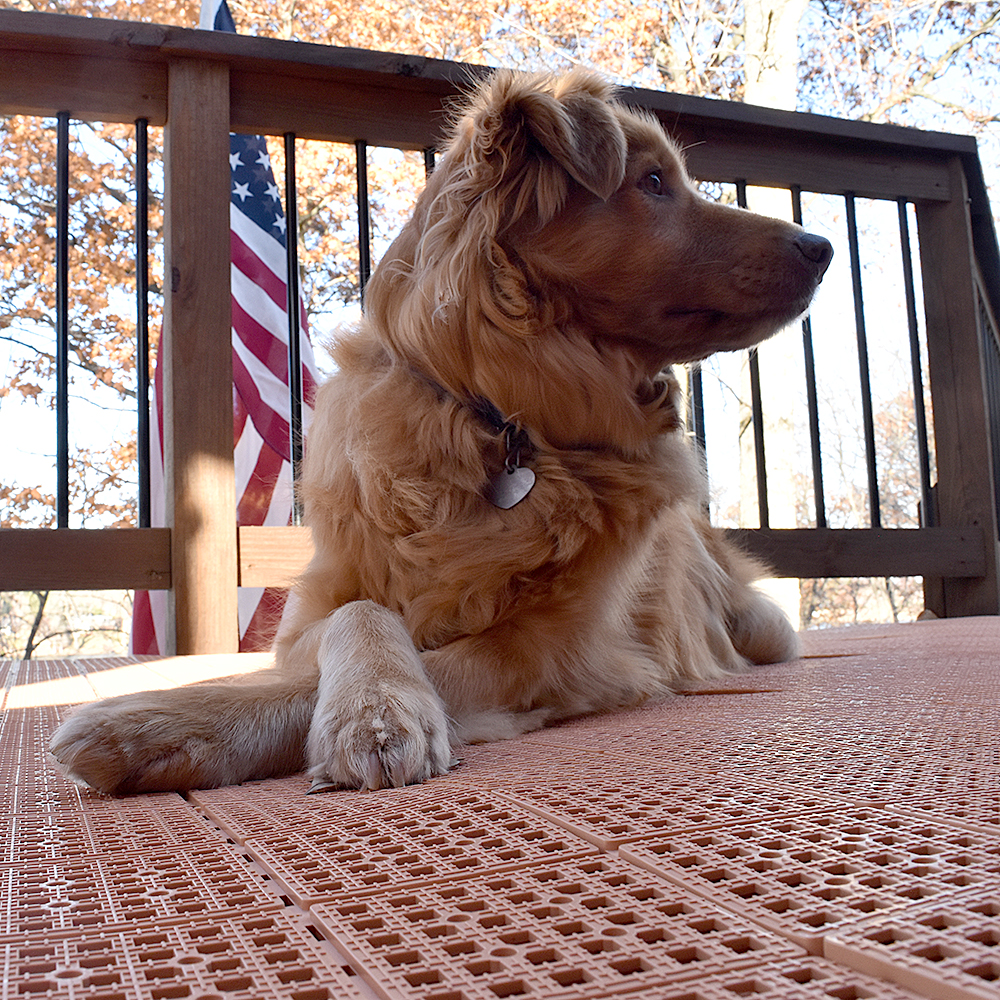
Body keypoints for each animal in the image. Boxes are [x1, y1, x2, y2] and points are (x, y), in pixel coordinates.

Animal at [52, 68, 836, 796]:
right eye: (651, 182)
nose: (822, 245)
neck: (502, 420)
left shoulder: (556, 650)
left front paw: (161, 724)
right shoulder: (308, 620)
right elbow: (360, 612)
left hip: (759, 624)